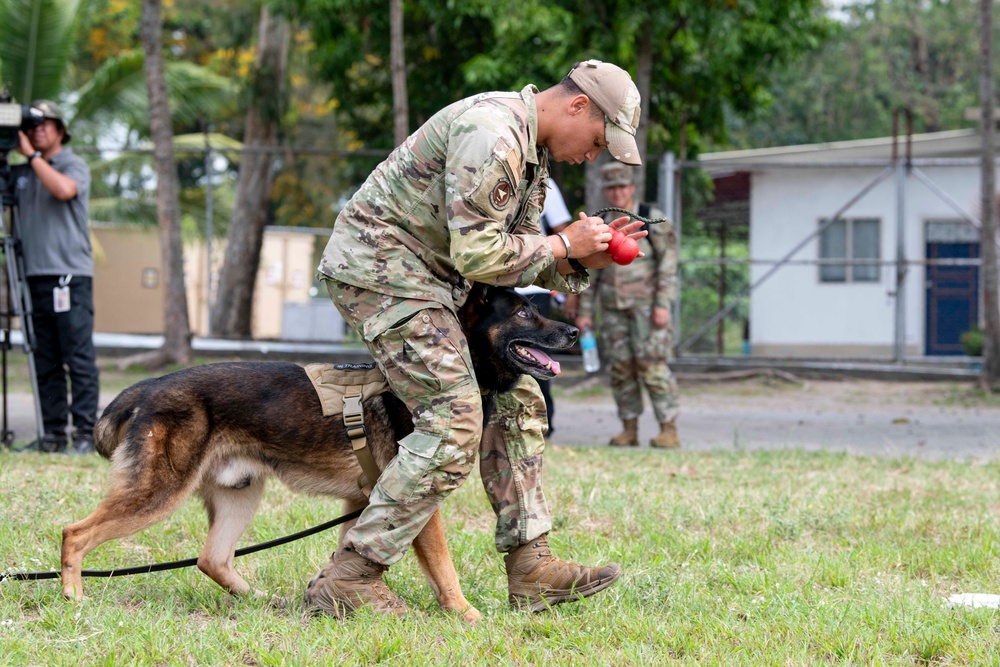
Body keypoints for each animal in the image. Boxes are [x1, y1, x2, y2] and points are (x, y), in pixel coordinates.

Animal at [60, 284, 580, 624]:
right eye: (524, 313)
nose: (574, 333)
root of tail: (151, 386)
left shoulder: (363, 501)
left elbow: (350, 549)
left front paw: (336, 597)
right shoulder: (420, 502)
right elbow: (444, 570)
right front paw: (466, 615)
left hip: (240, 495)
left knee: (212, 559)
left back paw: (261, 600)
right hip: (158, 495)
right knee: (74, 533)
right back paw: (74, 597)